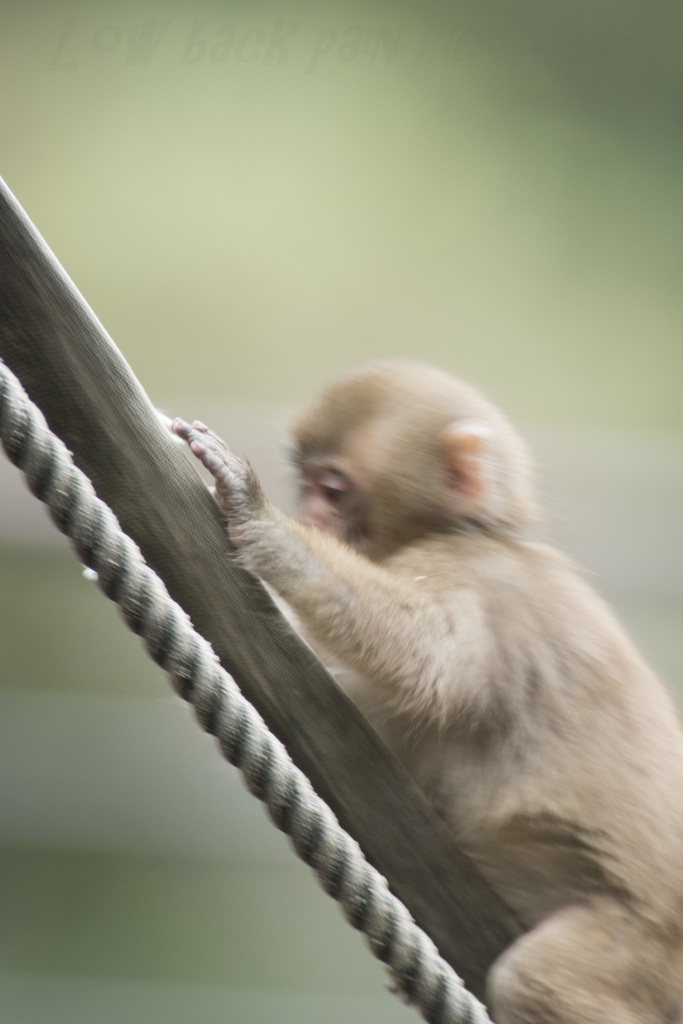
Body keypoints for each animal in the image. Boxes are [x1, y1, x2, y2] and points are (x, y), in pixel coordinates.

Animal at [174, 364, 683, 1019]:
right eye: (307, 482)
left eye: (332, 490)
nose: (310, 515)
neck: (476, 531)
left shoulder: (471, 574)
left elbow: (424, 657)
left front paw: (256, 516)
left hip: (646, 947)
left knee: (533, 978)